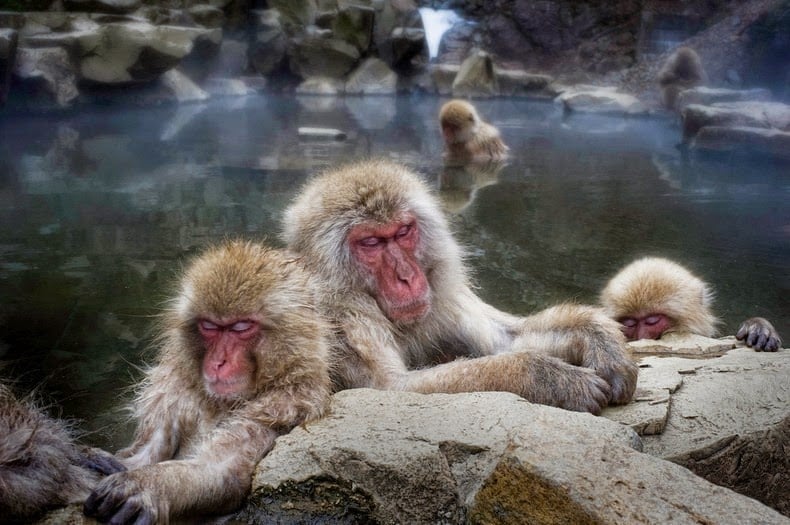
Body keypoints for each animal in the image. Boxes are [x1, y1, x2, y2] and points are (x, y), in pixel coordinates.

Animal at [85, 242, 332, 524]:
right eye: (209, 326)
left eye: (241, 327)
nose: (217, 362)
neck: (221, 403)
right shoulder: (172, 390)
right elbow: (145, 450)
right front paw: (109, 462)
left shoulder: (285, 405)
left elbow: (222, 471)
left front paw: (150, 484)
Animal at [282, 160, 640, 414]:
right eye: (370, 242)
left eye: (403, 232)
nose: (406, 277)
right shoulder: (337, 312)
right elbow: (390, 390)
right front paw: (549, 378)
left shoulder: (442, 293)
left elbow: (504, 339)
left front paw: (600, 339)